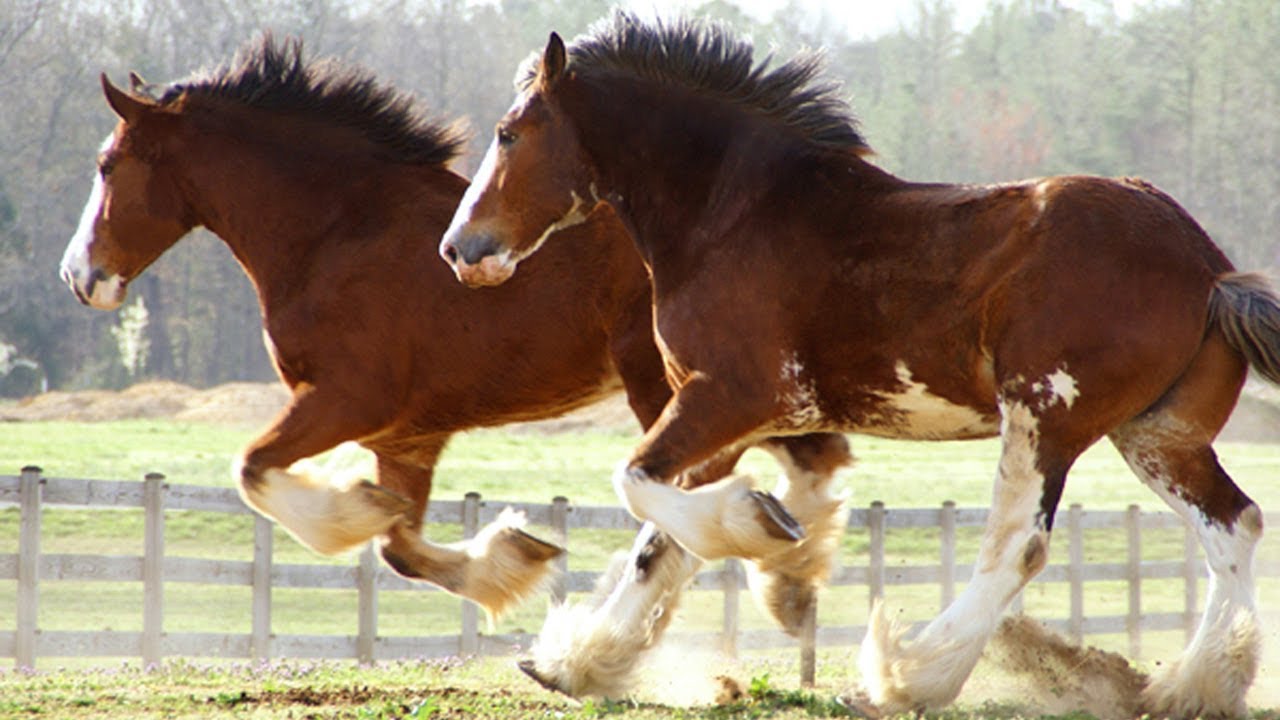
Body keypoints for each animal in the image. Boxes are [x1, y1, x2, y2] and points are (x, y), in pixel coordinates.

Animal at [55, 35, 849, 691]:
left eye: (107, 165)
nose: (79, 276)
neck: (336, 230)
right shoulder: (407, 436)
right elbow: (401, 546)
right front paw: (513, 556)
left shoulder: (346, 399)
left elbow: (255, 469)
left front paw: (351, 508)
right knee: (809, 461)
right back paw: (786, 583)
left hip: (674, 384)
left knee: (698, 497)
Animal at [437, 12, 1280, 717]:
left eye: (510, 132)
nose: (460, 249)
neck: (732, 216)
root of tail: (1207, 264)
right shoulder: (720, 417)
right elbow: (659, 540)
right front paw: (576, 662)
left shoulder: (726, 397)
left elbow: (640, 486)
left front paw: (766, 531)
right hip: (1156, 436)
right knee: (1233, 525)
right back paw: (1193, 687)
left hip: (1047, 417)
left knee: (1019, 544)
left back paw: (907, 674)